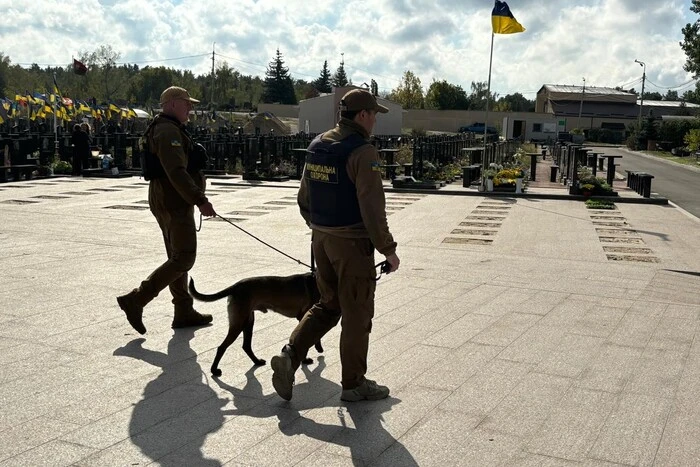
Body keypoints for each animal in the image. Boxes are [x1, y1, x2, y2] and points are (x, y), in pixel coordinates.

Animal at [189, 274, 326, 376]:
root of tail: (235, 286)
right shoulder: (305, 316)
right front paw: (306, 358)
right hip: (239, 323)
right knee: (222, 347)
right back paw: (214, 370)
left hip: (248, 321)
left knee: (246, 346)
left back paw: (257, 361)